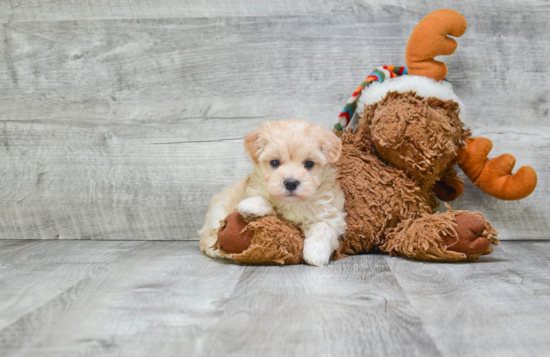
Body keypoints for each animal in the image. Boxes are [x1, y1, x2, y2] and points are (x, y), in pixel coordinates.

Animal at [198, 119, 348, 264]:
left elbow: (324, 225)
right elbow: (266, 203)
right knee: (208, 237)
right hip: (217, 213)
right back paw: (218, 251)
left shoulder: (330, 211)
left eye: (309, 164)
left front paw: (316, 253)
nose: (291, 183)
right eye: (274, 162)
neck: (293, 203)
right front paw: (251, 206)